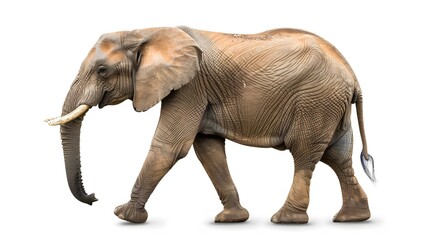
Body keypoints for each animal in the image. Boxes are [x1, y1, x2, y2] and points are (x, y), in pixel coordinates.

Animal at [46, 25, 374, 223]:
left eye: (102, 71)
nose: (94, 198)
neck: (146, 32)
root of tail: (353, 75)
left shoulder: (190, 87)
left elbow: (170, 146)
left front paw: (123, 215)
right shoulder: (196, 92)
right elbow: (207, 149)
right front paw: (232, 219)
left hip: (316, 101)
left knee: (305, 154)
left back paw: (285, 220)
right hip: (330, 104)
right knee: (338, 157)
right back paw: (351, 218)